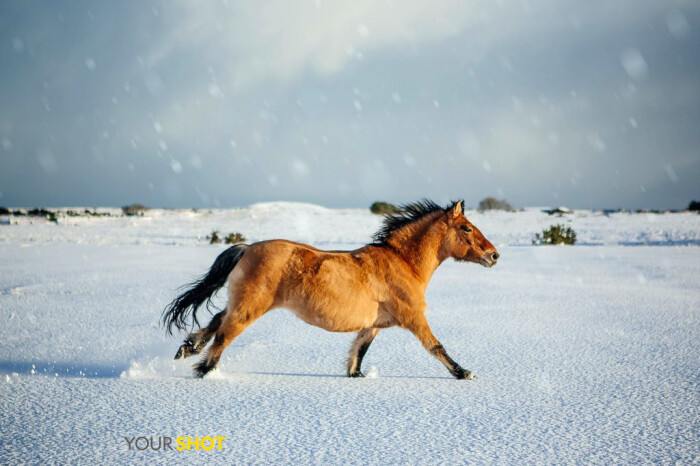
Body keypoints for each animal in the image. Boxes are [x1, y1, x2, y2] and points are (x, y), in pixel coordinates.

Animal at [161, 199, 500, 378]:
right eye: (466, 228)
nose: (494, 255)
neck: (403, 262)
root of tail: (247, 248)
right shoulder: (414, 318)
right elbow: (436, 346)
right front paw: (463, 373)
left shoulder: (373, 325)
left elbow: (359, 350)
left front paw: (356, 376)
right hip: (250, 307)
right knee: (222, 335)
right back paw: (203, 369)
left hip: (242, 302)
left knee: (217, 320)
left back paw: (187, 348)